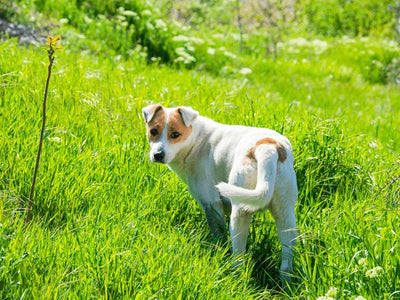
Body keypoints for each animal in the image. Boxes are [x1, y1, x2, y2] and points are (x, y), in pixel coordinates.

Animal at [141, 104, 296, 284]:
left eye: (175, 135)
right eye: (153, 131)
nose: (158, 155)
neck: (196, 140)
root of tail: (267, 147)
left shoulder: (211, 205)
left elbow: (218, 235)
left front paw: (218, 251)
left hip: (240, 212)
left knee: (239, 254)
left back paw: (235, 274)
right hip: (285, 213)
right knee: (287, 258)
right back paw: (286, 283)